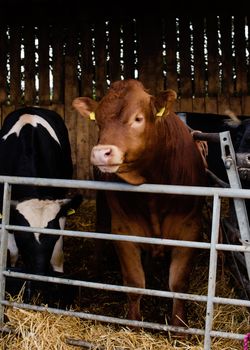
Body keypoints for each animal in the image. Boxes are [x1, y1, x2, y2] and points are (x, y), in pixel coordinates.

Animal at [73, 78, 208, 328]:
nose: (101, 153)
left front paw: (179, 327)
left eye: (138, 118)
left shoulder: (190, 230)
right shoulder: (123, 230)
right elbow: (135, 283)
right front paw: (133, 325)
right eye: (99, 122)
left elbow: (178, 284)